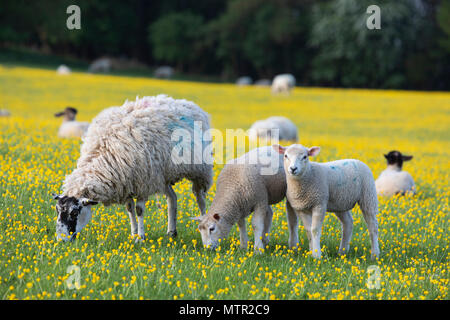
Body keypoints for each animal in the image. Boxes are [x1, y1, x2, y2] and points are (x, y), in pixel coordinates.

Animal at [51, 95, 214, 242]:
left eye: (74, 213)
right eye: (57, 211)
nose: (61, 240)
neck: (105, 152)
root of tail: (190, 104)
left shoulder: (143, 182)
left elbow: (139, 210)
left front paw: (140, 238)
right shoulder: (127, 182)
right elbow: (130, 208)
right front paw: (133, 234)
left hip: (200, 171)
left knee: (200, 199)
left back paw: (203, 226)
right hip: (162, 175)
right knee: (172, 198)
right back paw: (171, 232)